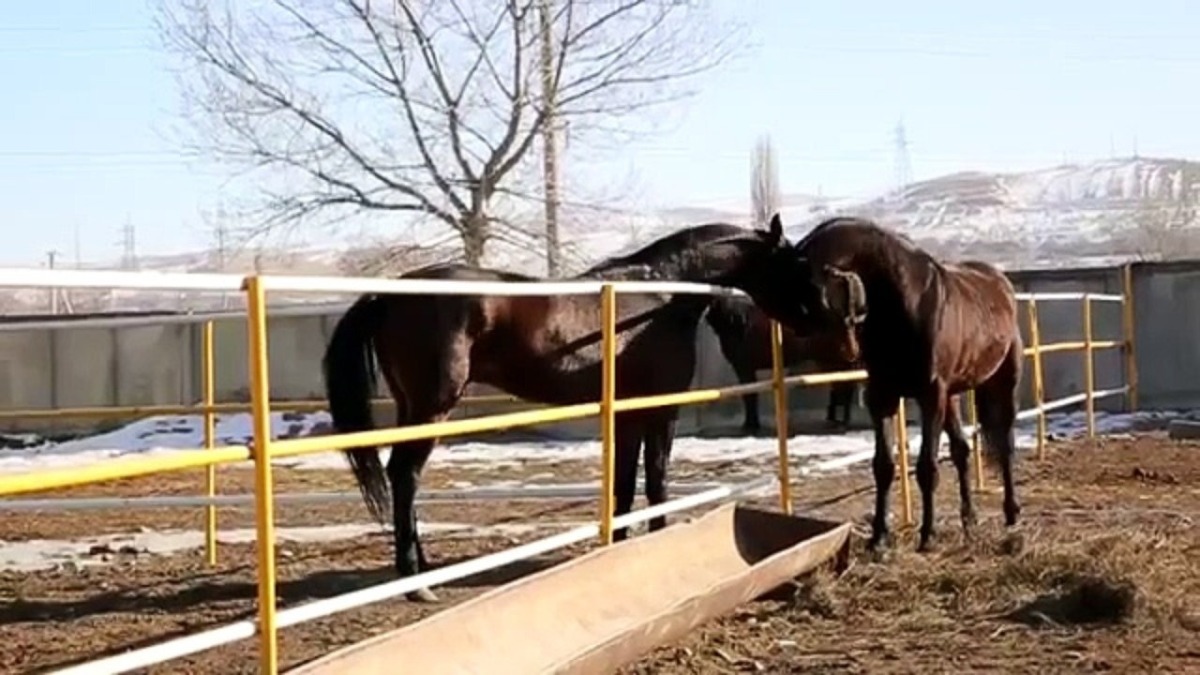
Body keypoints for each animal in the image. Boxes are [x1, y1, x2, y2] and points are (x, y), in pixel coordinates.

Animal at [320, 222, 798, 601]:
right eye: (791, 259)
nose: (810, 315)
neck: (661, 294)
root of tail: (388, 295)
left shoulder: (627, 416)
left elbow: (624, 489)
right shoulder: (661, 412)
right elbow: (656, 483)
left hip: (410, 407)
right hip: (431, 407)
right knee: (405, 474)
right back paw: (416, 583)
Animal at [704, 294, 861, 434]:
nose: (706, 316)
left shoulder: (744, 368)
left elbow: (750, 395)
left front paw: (750, 424)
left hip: (836, 362)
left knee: (845, 388)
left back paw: (842, 420)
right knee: (840, 388)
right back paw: (836, 418)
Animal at [735, 214, 1023, 554]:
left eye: (796, 274)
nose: (790, 322)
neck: (907, 307)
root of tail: (1000, 282)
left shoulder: (929, 397)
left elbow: (927, 467)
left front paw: (927, 535)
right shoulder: (883, 396)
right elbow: (883, 467)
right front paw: (878, 538)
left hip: (1002, 382)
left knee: (1004, 444)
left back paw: (1011, 512)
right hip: (950, 396)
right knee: (962, 450)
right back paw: (968, 520)